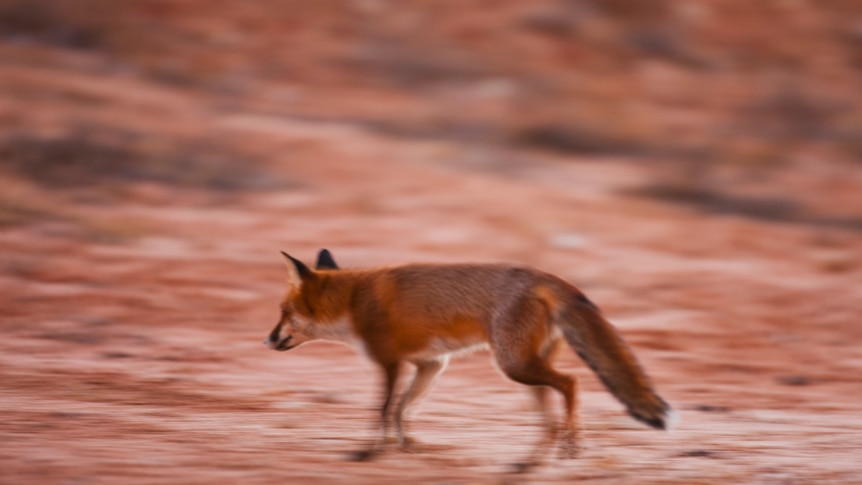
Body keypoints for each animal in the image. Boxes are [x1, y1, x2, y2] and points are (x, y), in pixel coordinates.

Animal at [264, 250, 676, 468]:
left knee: (572, 383)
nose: (266, 340)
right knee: (549, 416)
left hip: (514, 366)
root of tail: (546, 275)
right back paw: (531, 463)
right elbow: (403, 409)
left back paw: (571, 444)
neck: (353, 301)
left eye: (283, 312)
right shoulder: (430, 364)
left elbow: (382, 410)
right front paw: (407, 445)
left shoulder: (390, 362)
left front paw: (372, 451)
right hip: (524, 371)